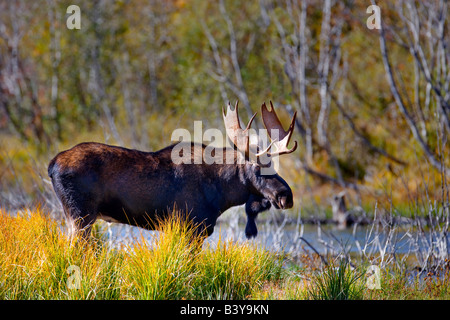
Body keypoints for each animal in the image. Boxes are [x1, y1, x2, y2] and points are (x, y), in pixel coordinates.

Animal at [47, 102, 298, 240]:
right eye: (257, 167)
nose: (286, 195)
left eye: (273, 165)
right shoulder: (191, 226)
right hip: (80, 215)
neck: (221, 193)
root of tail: (51, 165)